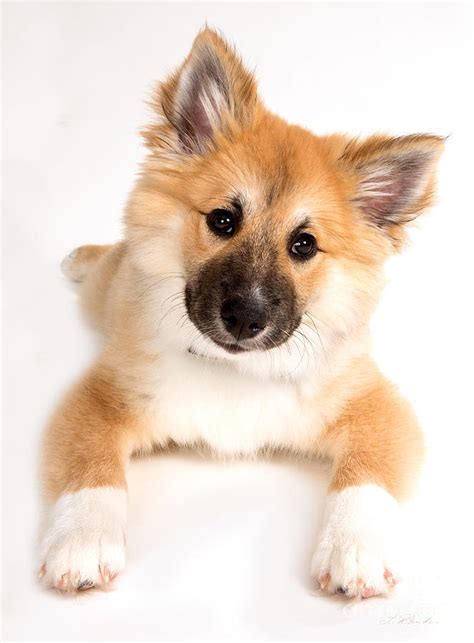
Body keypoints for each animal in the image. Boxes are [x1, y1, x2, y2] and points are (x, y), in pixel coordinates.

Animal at [39, 28, 442, 600]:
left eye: (304, 244)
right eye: (223, 220)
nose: (246, 320)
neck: (235, 371)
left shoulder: (374, 405)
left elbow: (365, 478)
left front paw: (355, 548)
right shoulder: (101, 396)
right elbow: (89, 468)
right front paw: (82, 539)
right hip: (105, 292)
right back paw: (83, 257)